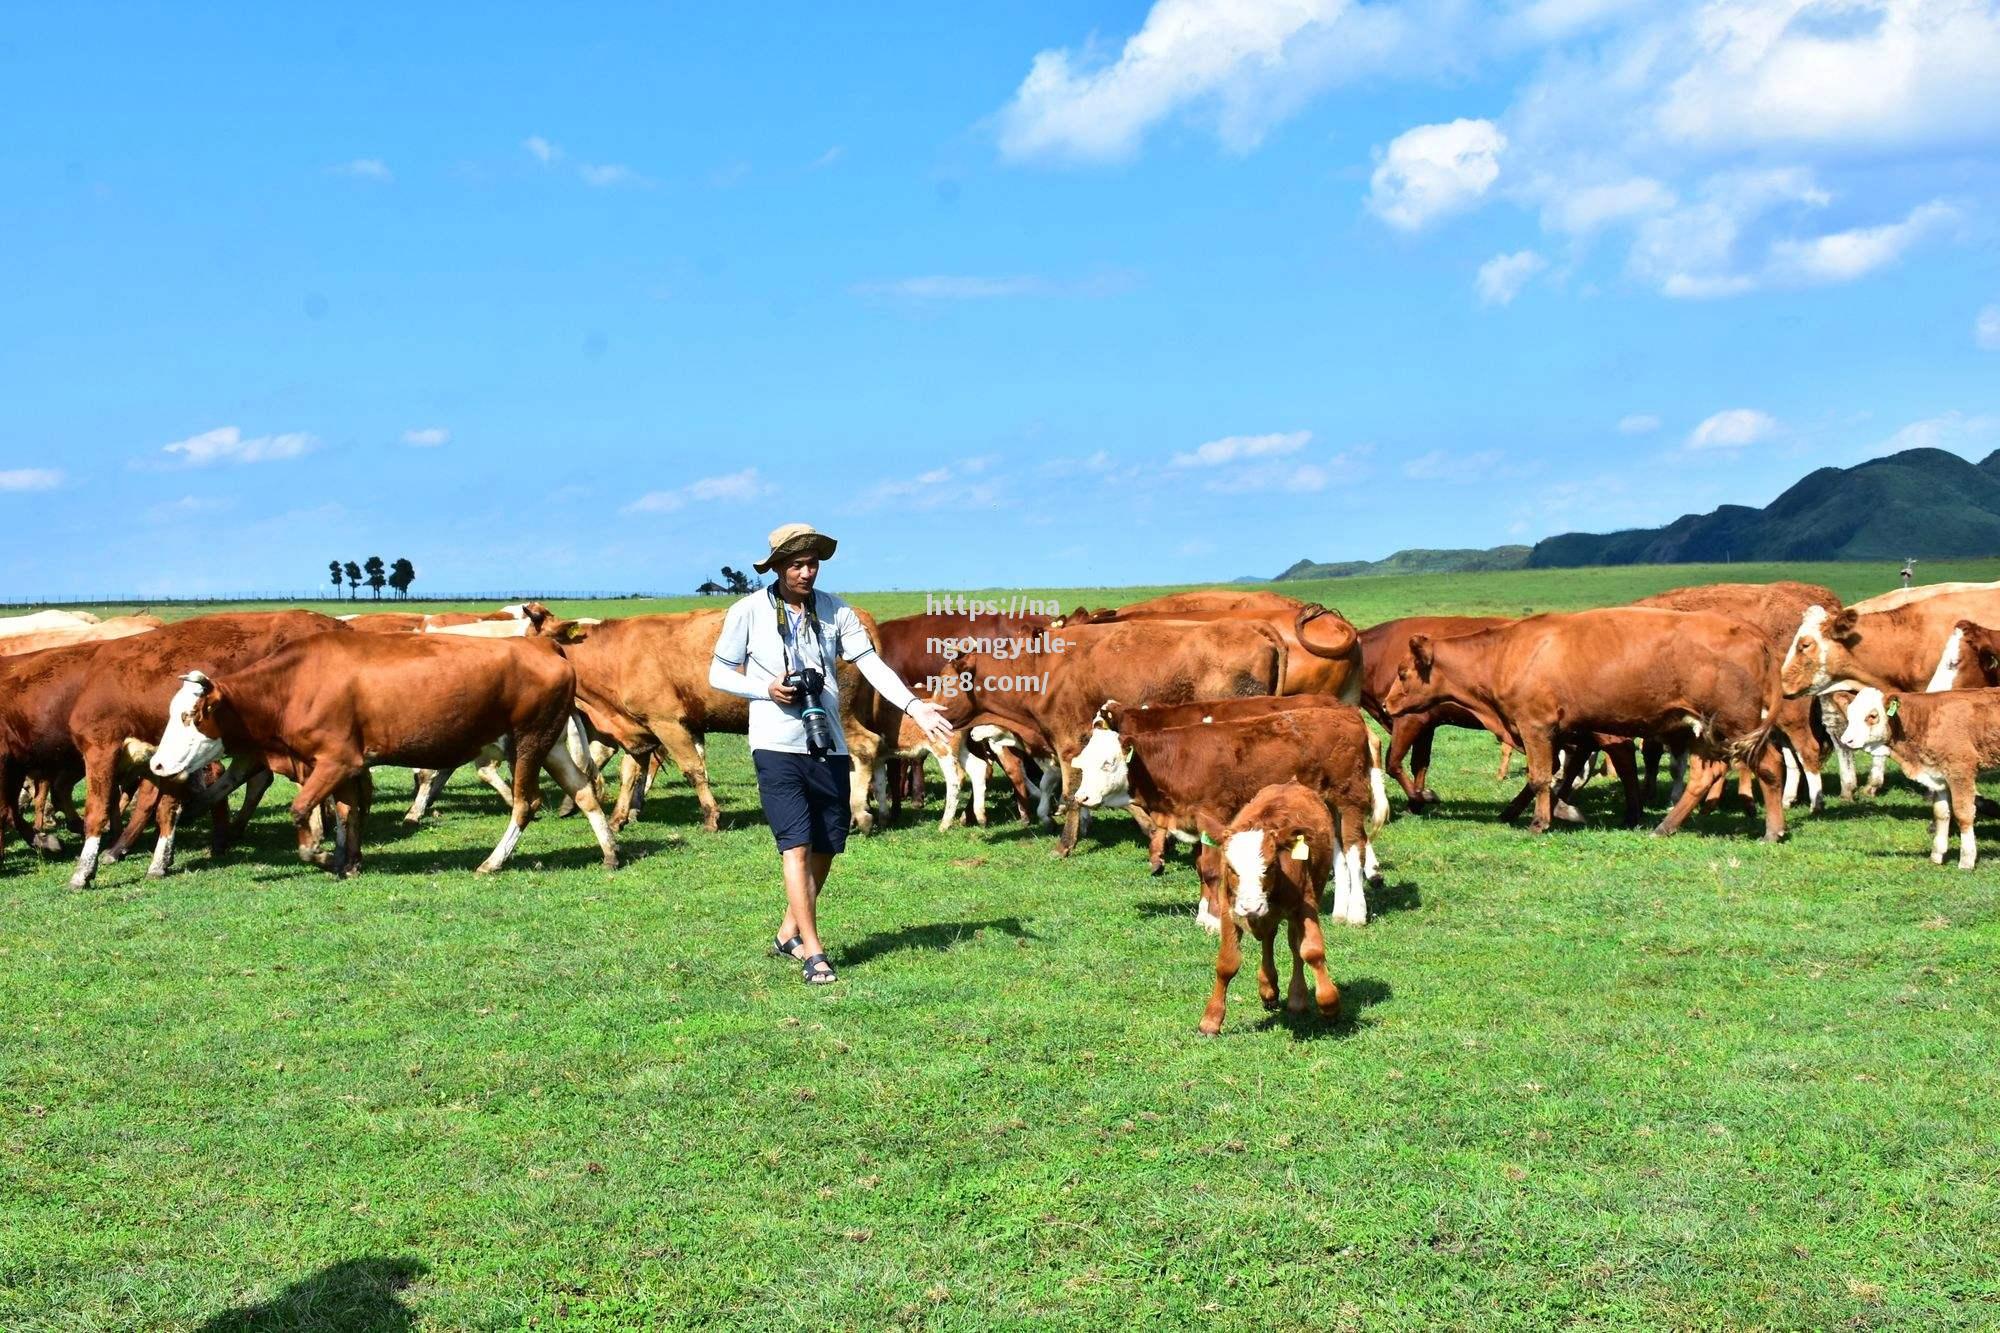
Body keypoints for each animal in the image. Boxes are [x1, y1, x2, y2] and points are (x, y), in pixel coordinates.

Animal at [63, 608, 348, 880]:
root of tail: (336, 624)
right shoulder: (163, 760)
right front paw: (158, 857)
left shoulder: (101, 747)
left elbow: (99, 810)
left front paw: (84, 871)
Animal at [147, 632, 612, 872]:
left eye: (190, 716)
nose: (156, 763)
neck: (293, 684)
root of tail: (542, 645)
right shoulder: (344, 765)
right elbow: (348, 812)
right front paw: (347, 860)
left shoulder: (336, 760)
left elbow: (301, 811)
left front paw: (319, 855)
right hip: (549, 743)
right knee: (584, 791)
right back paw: (610, 853)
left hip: (530, 741)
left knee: (525, 802)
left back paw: (493, 862)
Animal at [1200, 784, 1344, 1032]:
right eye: (1231, 868)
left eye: (1269, 866)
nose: (1251, 906)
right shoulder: (1229, 910)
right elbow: (1227, 963)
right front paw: (1211, 1020)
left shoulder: (1305, 904)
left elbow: (1311, 950)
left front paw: (1329, 1003)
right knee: (1268, 938)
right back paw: (1268, 989)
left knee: (1294, 945)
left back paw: (1297, 998)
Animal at [1832, 684, 2000, 872]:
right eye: (1849, 715)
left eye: (1872, 716)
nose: (1846, 740)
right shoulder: (1938, 777)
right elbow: (1941, 813)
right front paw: (1936, 856)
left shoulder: (1960, 771)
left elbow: (1963, 814)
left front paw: (1966, 860)